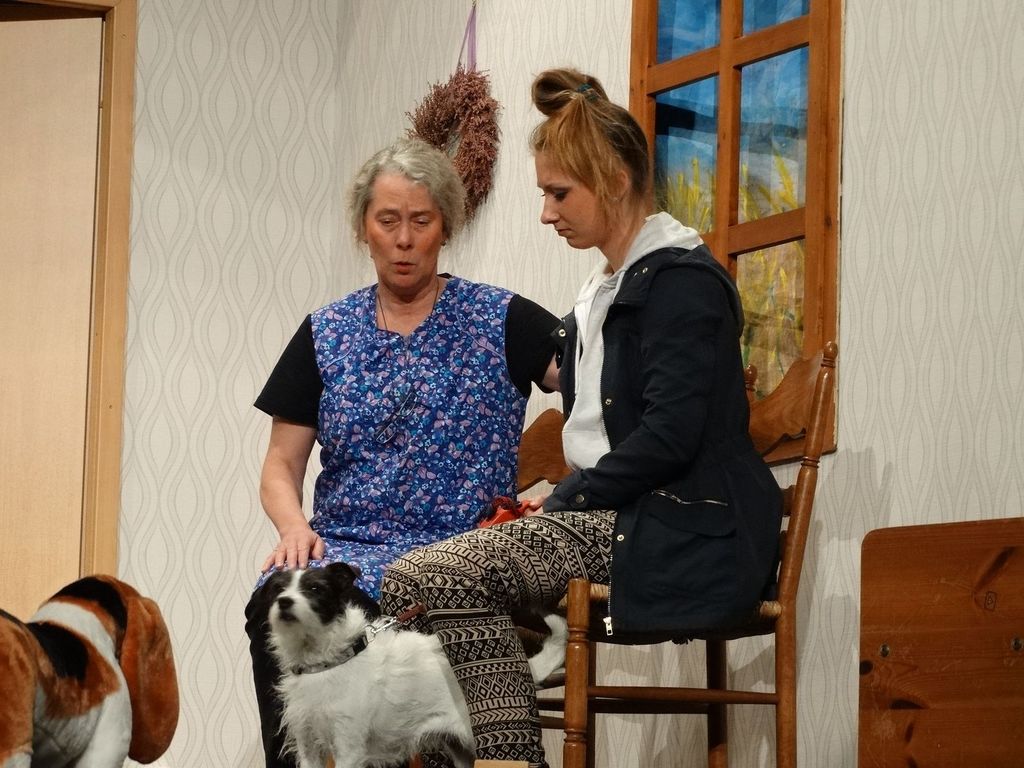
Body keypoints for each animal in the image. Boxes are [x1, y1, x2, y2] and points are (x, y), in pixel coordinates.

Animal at [264, 562, 566, 768]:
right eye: (278, 589)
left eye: (315, 589)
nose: (284, 602)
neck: (326, 662)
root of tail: (526, 667)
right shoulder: (307, 745)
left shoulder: (349, 747)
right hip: (460, 749)